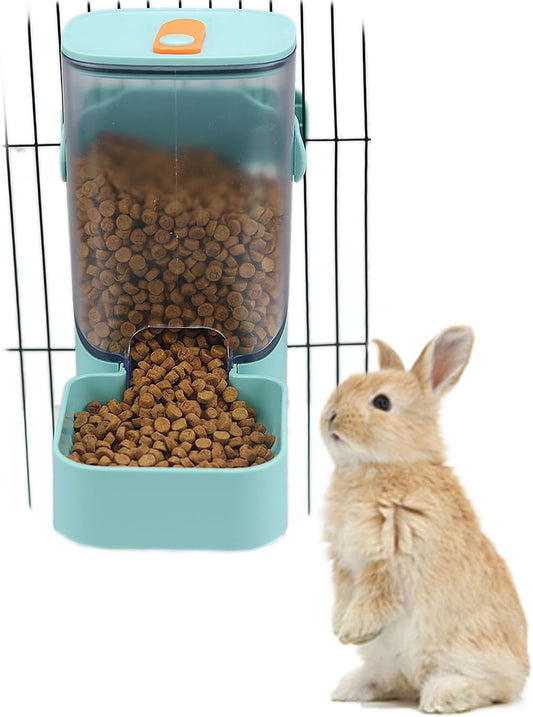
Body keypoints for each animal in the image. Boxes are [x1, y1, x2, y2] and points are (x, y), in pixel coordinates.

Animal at [321, 326, 528, 713]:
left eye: (382, 403)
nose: (330, 416)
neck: (387, 465)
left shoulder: (392, 556)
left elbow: (374, 596)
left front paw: (353, 631)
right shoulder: (343, 563)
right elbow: (344, 596)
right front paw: (339, 629)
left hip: (468, 651)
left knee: (491, 688)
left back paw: (442, 695)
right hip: (389, 663)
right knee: (393, 682)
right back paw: (349, 687)